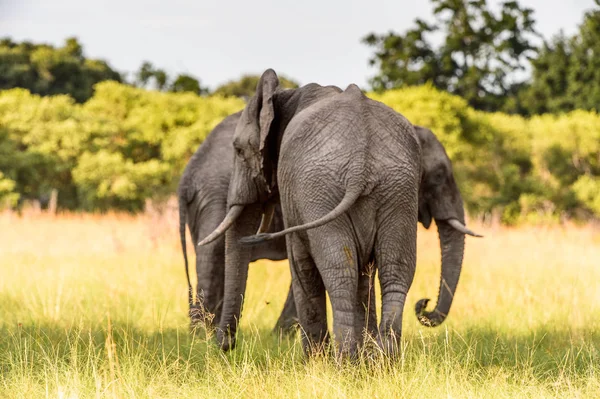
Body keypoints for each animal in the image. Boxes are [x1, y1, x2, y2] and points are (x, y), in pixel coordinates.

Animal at [202, 69, 482, 360]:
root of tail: (362, 161)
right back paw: (384, 360)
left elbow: (302, 264)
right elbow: (365, 272)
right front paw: (364, 358)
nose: (225, 346)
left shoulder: (296, 194)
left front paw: (315, 362)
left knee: (340, 270)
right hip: (396, 188)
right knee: (395, 268)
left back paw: (343, 361)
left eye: (238, 150)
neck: (287, 95)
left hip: (323, 188)